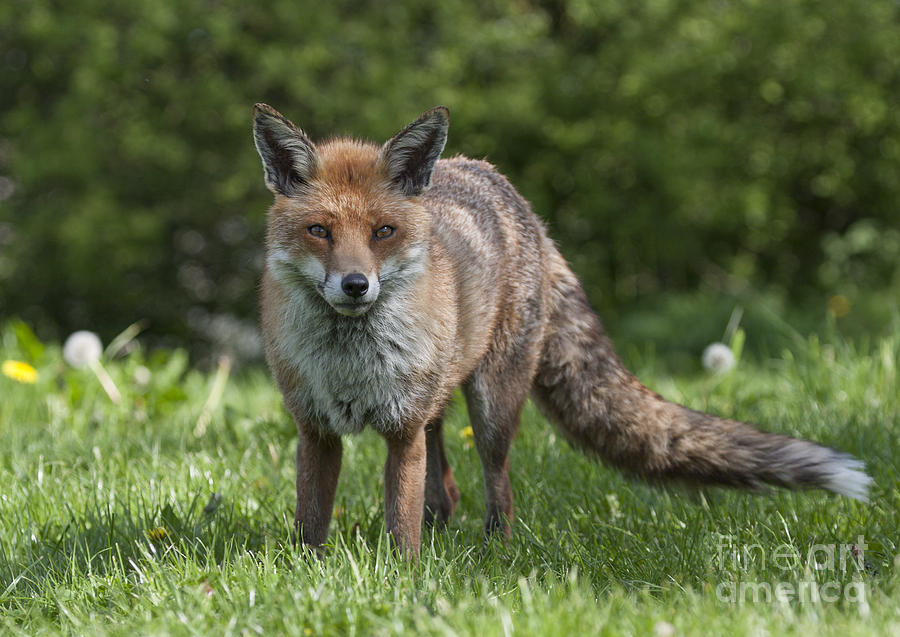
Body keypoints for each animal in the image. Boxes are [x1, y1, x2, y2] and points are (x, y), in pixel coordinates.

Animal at [250, 103, 868, 556]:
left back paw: (494, 553)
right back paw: (447, 533)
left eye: (383, 231)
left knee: (497, 486)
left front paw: (403, 580)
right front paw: (310, 574)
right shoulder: (316, 429)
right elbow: (310, 523)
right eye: (319, 231)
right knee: (446, 489)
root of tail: (513, 195)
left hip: (491, 407)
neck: (348, 362)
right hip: (439, 405)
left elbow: (400, 531)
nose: (356, 285)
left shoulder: (401, 431)